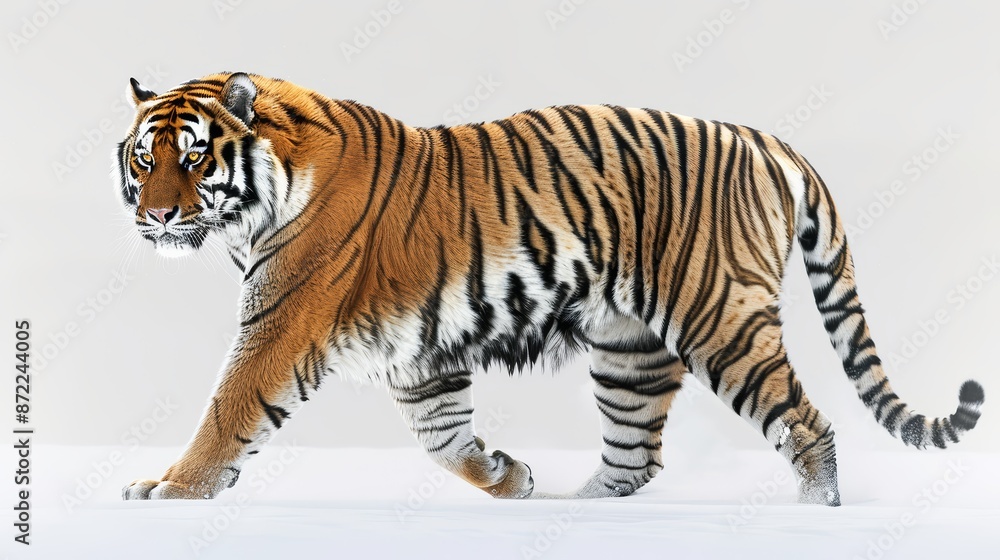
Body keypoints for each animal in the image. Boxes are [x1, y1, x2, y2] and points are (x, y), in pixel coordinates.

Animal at [115, 72, 983, 505]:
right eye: (143, 158)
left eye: (193, 157)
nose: (154, 216)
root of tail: (764, 138)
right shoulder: (417, 351)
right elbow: (442, 436)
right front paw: (507, 478)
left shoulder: (283, 323)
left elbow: (228, 408)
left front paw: (171, 488)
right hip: (630, 350)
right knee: (636, 454)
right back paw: (581, 503)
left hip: (722, 320)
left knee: (807, 423)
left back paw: (815, 509)